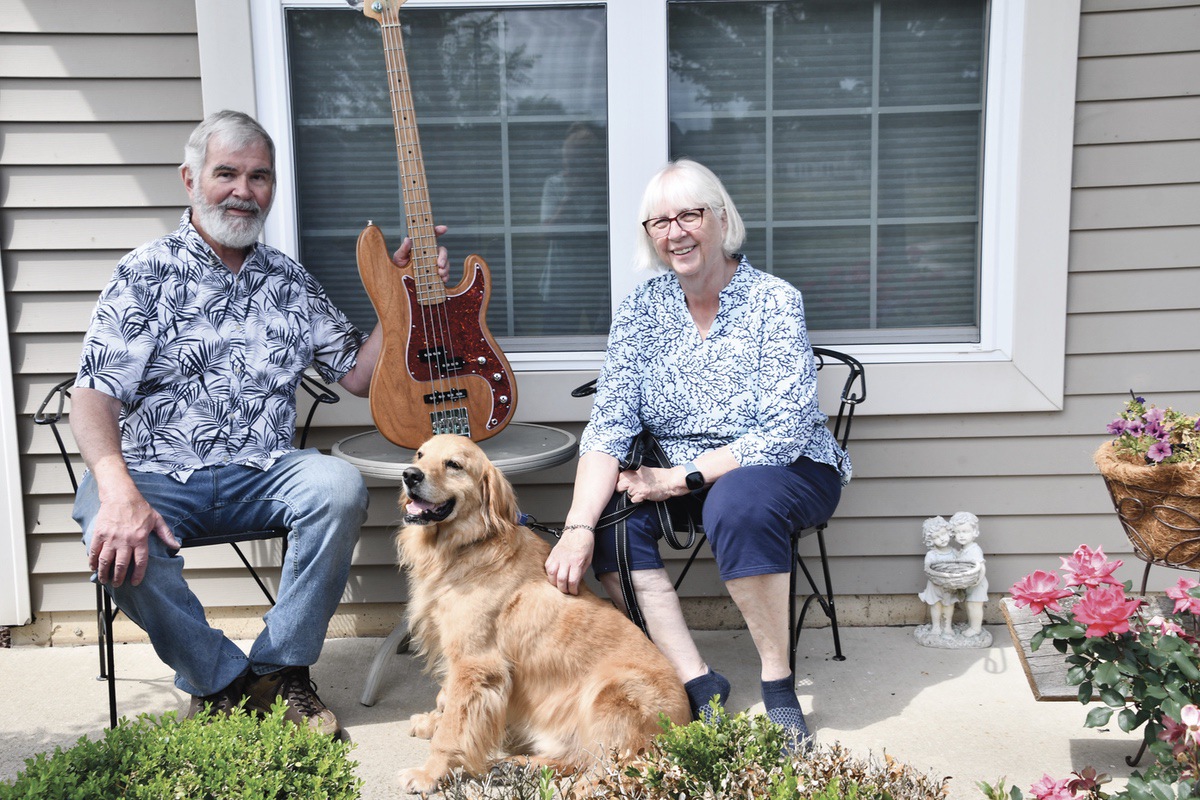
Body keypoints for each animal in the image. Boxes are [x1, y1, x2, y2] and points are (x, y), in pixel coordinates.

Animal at [396, 434, 691, 791]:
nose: (410, 476)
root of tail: (687, 728)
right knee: (575, 759)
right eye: (420, 455)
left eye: (454, 464)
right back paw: (516, 766)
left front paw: (428, 773)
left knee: (617, 767)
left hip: (610, 692)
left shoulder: (475, 663)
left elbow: (453, 725)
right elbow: (445, 700)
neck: (468, 546)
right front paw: (431, 722)